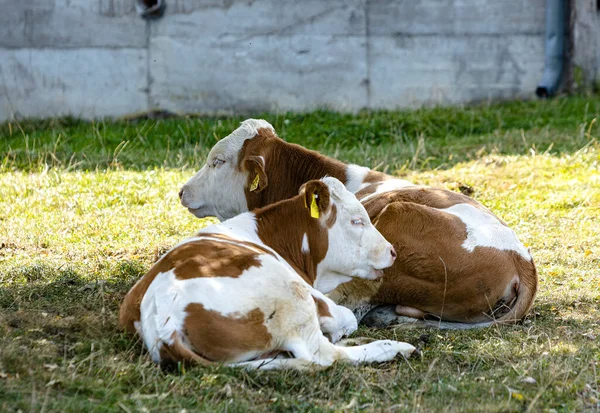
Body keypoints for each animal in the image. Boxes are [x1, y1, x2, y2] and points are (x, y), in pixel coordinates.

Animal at [119, 177, 414, 366]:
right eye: (356, 221)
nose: (392, 251)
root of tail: (164, 319)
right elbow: (345, 318)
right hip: (289, 296)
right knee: (323, 355)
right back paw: (395, 348)